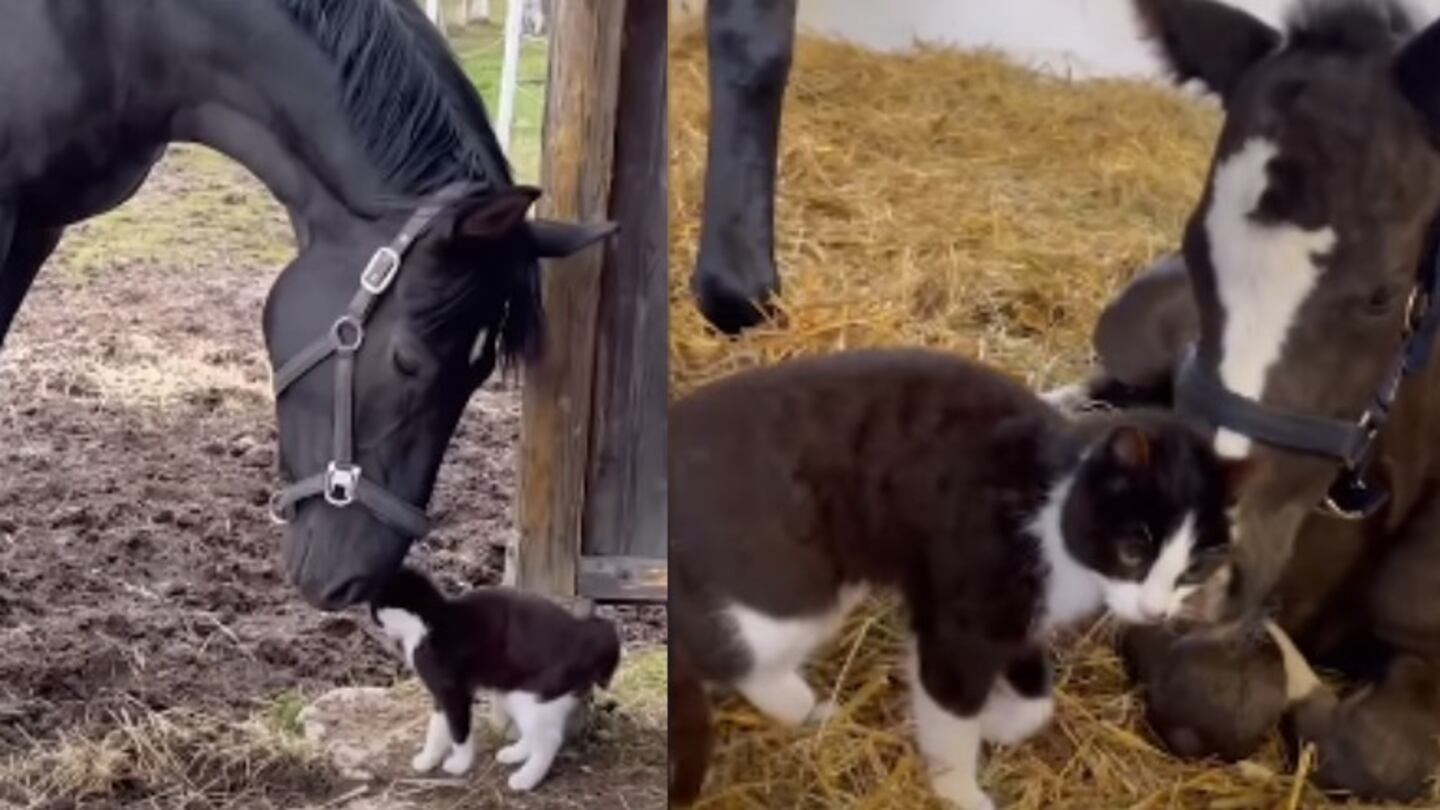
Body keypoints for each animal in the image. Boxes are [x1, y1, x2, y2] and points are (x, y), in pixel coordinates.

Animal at [371, 562, 619, 789]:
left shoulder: (453, 693)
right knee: (536, 734)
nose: (371, 617)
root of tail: (585, 636)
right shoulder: (440, 696)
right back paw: (515, 754)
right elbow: (437, 728)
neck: (431, 622)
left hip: (532, 696)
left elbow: (459, 731)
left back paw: (525, 779)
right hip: (515, 692)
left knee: (549, 739)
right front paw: (427, 760)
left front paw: (460, 764)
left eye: (375, 606)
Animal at [668, 350, 1244, 807]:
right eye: (1132, 550)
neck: (1051, 503)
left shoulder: (1020, 619)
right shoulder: (962, 618)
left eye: (1196, 566)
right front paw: (961, 791)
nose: (1155, 611)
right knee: (734, 651)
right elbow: (950, 713)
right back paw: (805, 709)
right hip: (794, 580)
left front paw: (997, 723)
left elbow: (1037, 702)